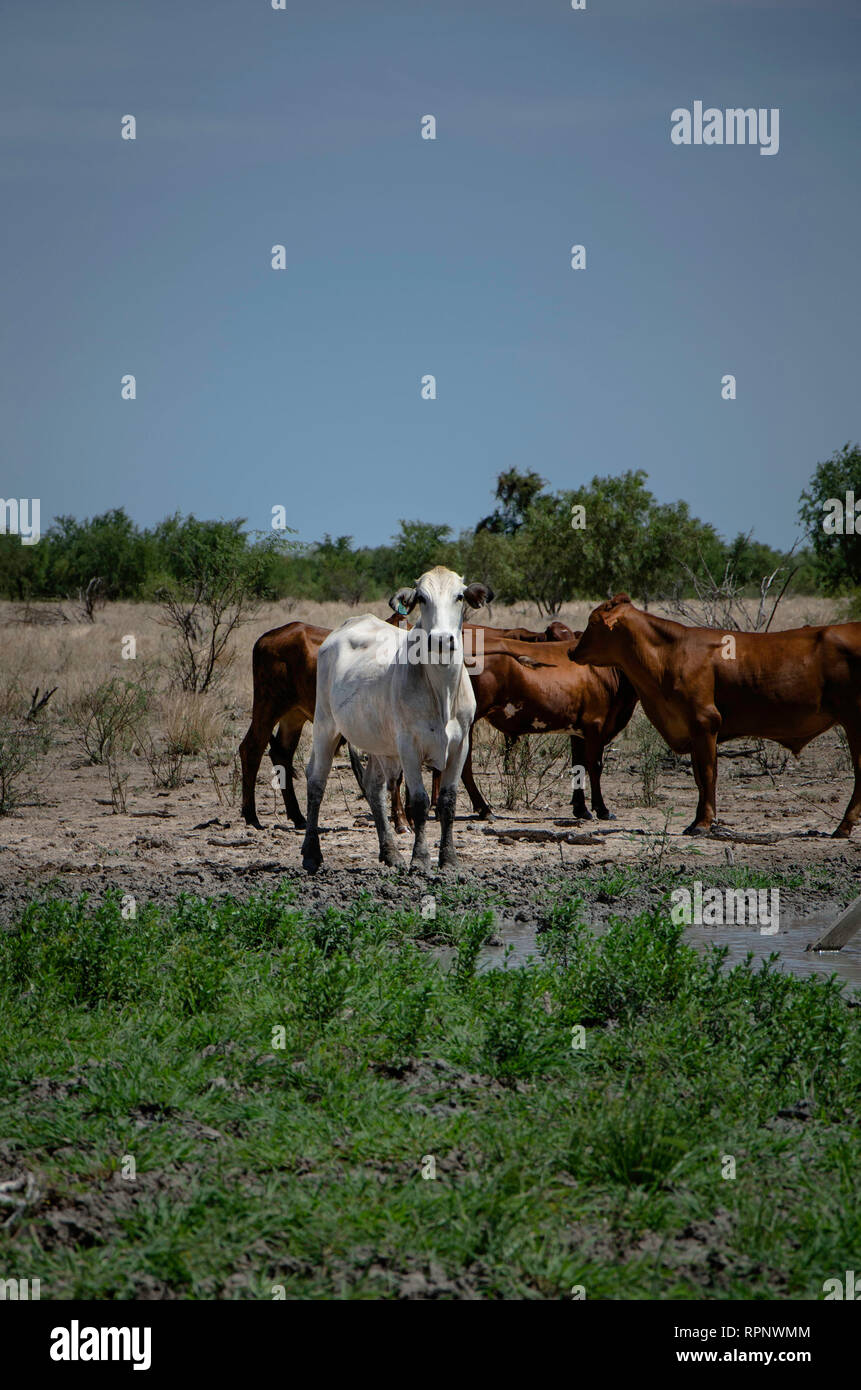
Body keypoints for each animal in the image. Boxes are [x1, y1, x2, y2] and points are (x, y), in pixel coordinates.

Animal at [300, 567, 492, 873]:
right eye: (422, 598)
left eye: (459, 596)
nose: (441, 639)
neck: (441, 690)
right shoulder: (409, 746)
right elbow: (420, 801)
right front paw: (421, 858)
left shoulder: (460, 744)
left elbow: (448, 801)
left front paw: (448, 858)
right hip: (325, 724)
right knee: (316, 781)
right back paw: (311, 853)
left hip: (379, 742)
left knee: (373, 787)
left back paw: (389, 852)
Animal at [570, 594, 861, 838]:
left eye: (592, 622)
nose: (571, 651)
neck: (667, 657)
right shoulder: (692, 730)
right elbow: (699, 777)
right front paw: (697, 821)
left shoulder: (705, 722)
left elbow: (708, 773)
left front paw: (703, 823)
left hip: (854, 721)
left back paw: (843, 827)